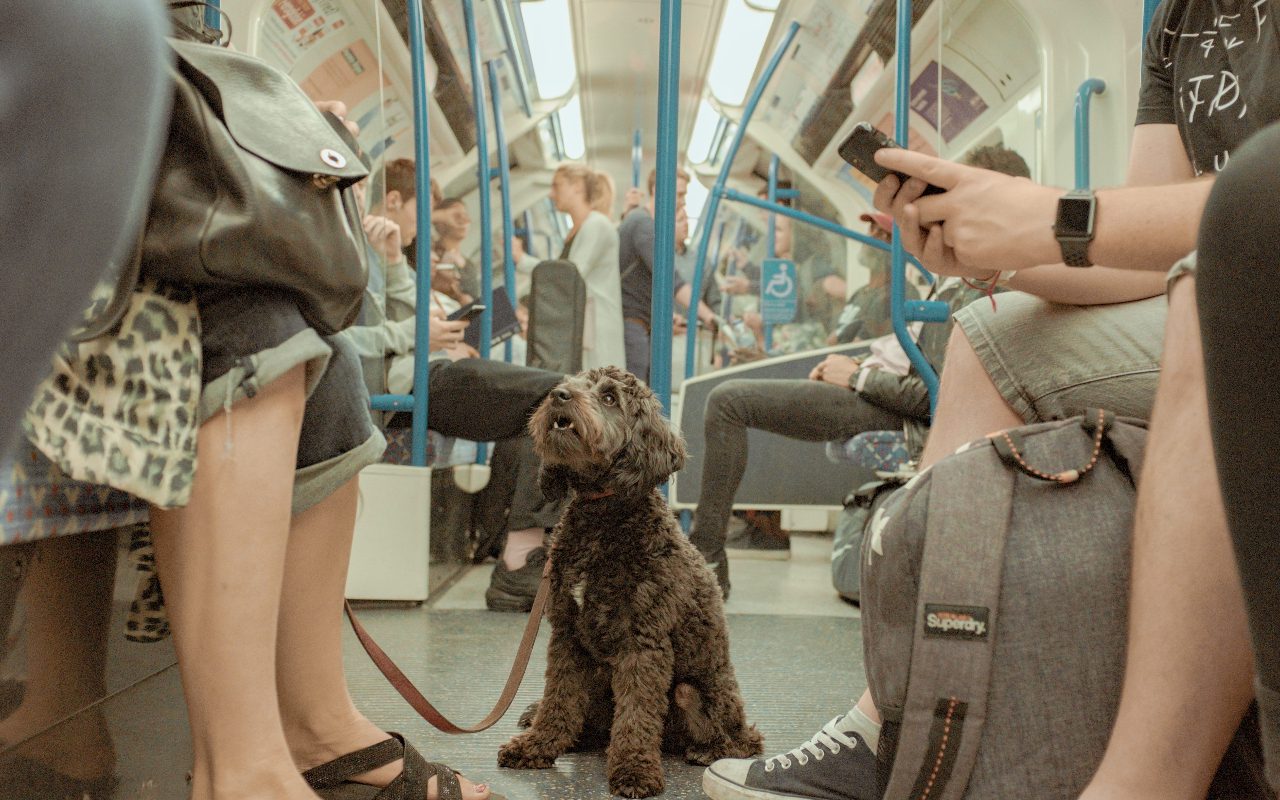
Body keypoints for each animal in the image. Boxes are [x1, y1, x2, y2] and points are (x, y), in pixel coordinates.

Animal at [496, 366, 757, 793]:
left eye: (609, 398)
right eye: (573, 383)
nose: (558, 395)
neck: (602, 518)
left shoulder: (642, 643)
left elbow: (636, 714)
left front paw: (634, 770)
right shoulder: (567, 635)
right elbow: (559, 699)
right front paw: (538, 745)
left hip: (694, 692)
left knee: (743, 740)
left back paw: (708, 750)